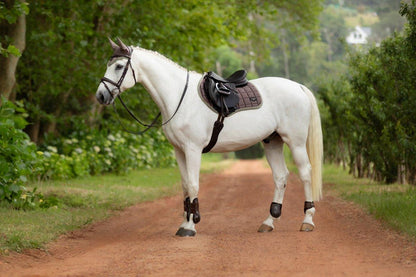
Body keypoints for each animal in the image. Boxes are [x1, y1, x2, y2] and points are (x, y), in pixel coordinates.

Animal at [96, 38, 324, 236]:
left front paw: (191, 226)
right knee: (280, 177)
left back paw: (307, 221)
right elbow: (185, 186)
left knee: (305, 173)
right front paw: (184, 223)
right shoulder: (179, 151)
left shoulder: (193, 149)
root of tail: (298, 87)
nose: (101, 95)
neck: (179, 98)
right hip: (272, 142)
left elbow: (193, 184)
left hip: (295, 143)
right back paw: (268, 222)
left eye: (119, 66)